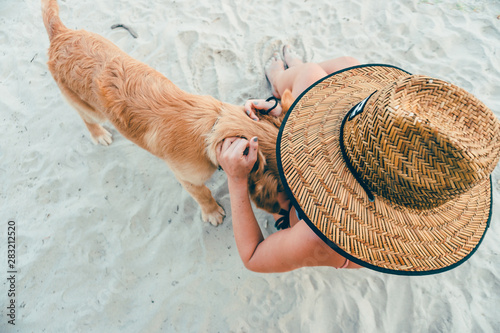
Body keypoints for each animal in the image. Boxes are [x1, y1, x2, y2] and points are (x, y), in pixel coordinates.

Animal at [44, 0, 292, 226]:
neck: (211, 127)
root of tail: (60, 34)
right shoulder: (187, 178)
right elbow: (203, 194)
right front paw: (212, 212)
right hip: (94, 111)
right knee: (85, 118)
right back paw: (98, 134)